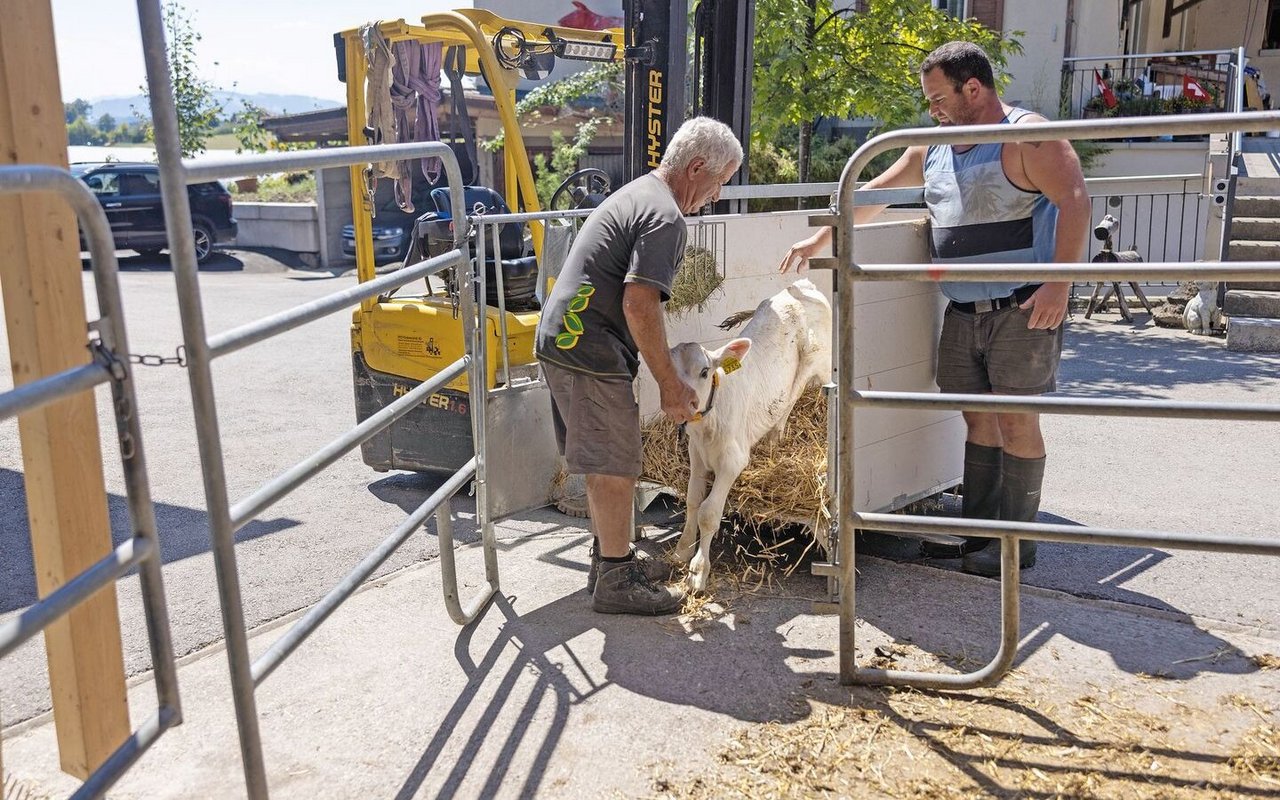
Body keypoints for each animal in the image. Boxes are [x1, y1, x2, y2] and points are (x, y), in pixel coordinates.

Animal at [665, 277, 834, 588]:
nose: (684, 406)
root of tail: (800, 285)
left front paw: (698, 570)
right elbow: (693, 500)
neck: (708, 425)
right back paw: (774, 440)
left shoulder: (732, 461)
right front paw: (682, 551)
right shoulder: (696, 454)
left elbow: (708, 512)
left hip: (821, 360)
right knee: (785, 405)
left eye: (705, 372)